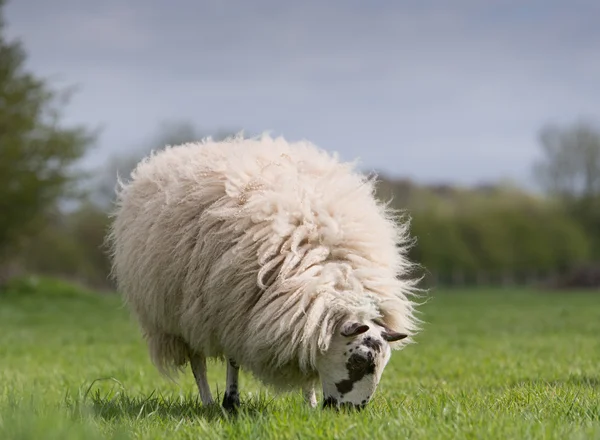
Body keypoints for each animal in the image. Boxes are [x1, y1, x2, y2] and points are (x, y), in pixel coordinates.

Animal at [109, 132, 422, 410]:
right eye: (358, 360)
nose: (351, 412)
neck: (327, 266)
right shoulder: (233, 309)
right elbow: (233, 359)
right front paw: (231, 403)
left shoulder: (299, 320)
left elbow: (307, 355)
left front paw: (310, 404)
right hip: (178, 316)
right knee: (197, 362)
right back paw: (209, 402)